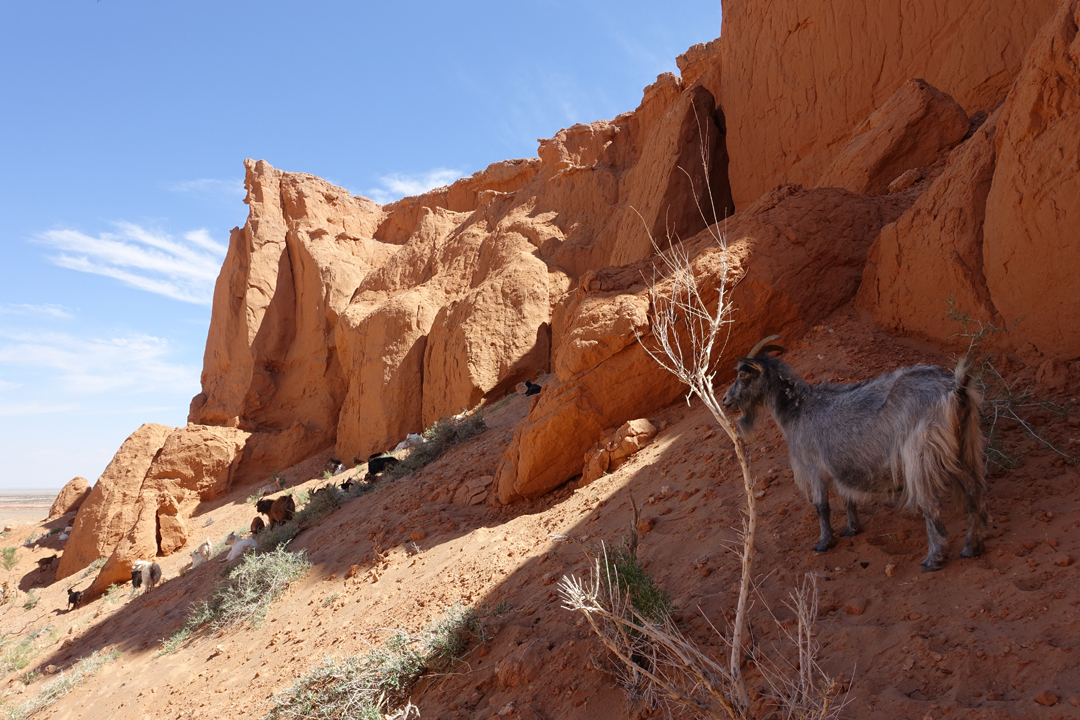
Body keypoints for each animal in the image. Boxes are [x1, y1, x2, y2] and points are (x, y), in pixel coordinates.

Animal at [725, 334, 989, 574]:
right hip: (963, 448)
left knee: (930, 504)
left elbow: (821, 506)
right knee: (974, 494)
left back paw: (934, 559)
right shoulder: (837, 467)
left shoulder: (813, 466)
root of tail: (955, 389)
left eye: (743, 373)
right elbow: (847, 499)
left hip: (919, 456)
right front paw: (851, 529)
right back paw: (971, 548)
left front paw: (824, 543)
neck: (798, 409)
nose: (727, 400)